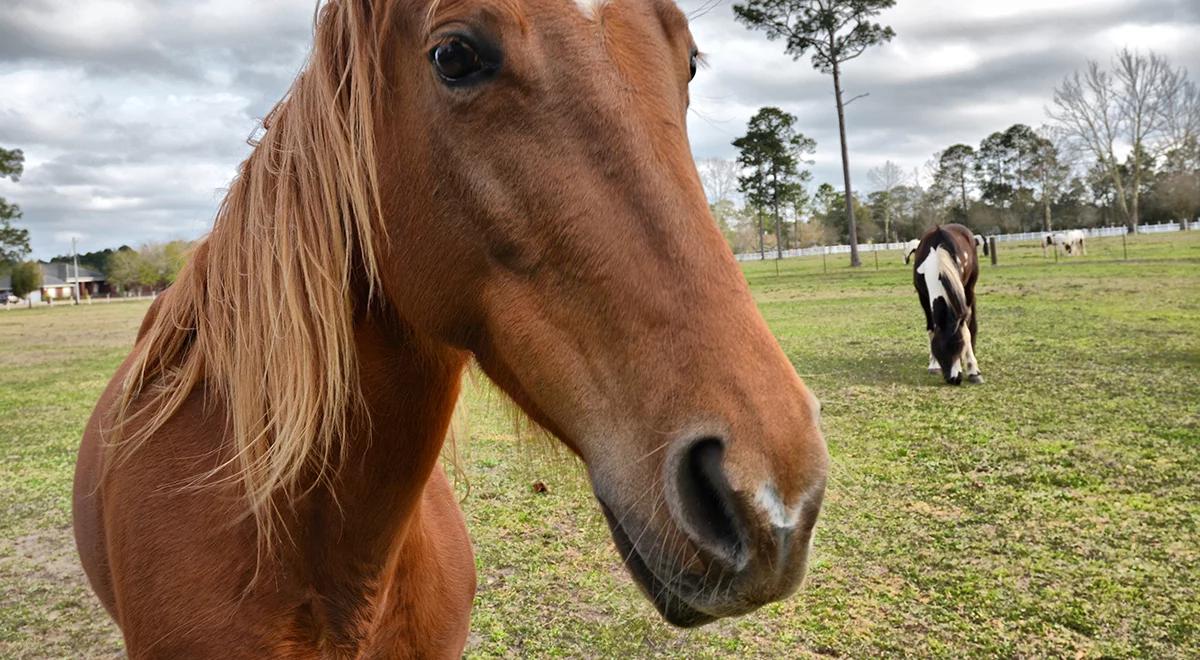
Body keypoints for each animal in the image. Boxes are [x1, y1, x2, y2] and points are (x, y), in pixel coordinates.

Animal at [912, 225, 979, 386]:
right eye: (940, 349)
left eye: (959, 346)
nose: (954, 379)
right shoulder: (923, 297)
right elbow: (931, 328)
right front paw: (933, 365)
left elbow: (966, 330)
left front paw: (973, 369)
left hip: (970, 288)